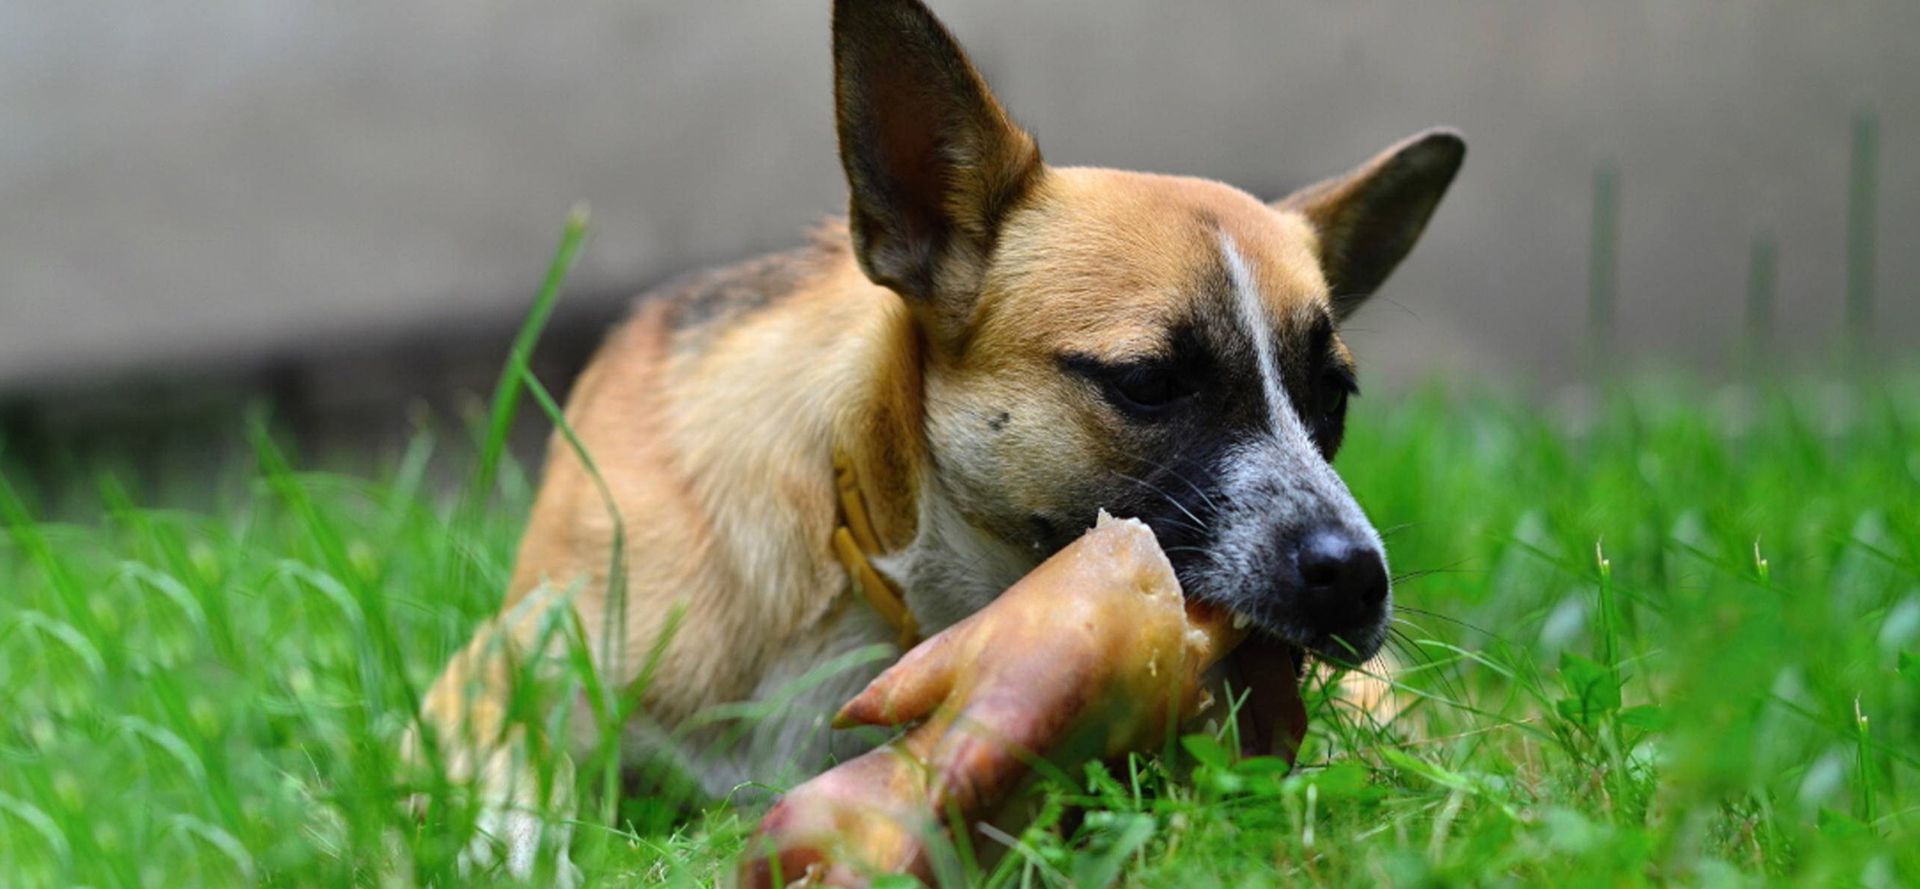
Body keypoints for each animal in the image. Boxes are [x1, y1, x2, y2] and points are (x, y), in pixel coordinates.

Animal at [401, 0, 1451, 875]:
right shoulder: (490, 680)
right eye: (1149, 384)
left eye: (1334, 399)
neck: (875, 564)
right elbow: (504, 807)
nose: (1358, 578)